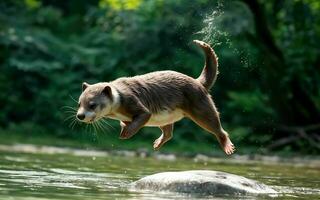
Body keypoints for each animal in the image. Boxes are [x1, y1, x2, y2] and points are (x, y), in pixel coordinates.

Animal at [75, 39, 235, 155]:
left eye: (92, 104)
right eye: (79, 103)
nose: (80, 116)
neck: (119, 98)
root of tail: (198, 82)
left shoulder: (132, 101)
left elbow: (144, 115)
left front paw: (126, 133)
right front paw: (123, 127)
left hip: (202, 108)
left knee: (217, 127)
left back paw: (227, 146)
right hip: (165, 118)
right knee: (168, 132)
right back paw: (158, 143)